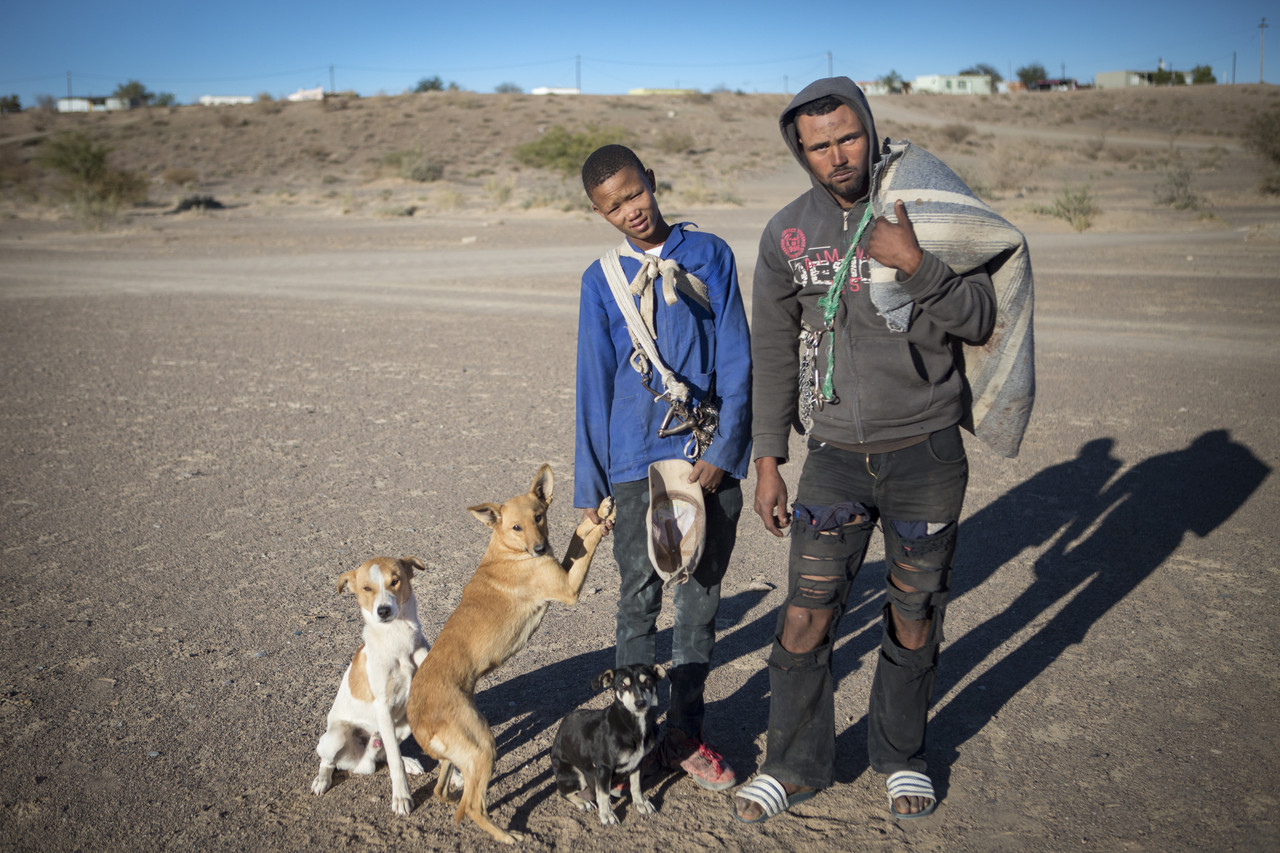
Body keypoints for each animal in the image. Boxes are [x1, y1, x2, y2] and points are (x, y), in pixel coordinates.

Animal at [311, 556, 429, 816]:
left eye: (395, 581)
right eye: (366, 588)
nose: (383, 611)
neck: (397, 638)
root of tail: (363, 762)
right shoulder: (383, 707)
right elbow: (394, 763)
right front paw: (402, 798)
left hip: (403, 725)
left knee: (386, 752)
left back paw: (409, 761)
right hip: (336, 736)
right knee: (328, 762)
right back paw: (322, 780)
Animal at [405, 464, 615, 844]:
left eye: (539, 517)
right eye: (516, 526)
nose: (540, 547)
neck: (506, 548)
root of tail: (416, 720)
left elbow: (579, 533)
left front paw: (603, 509)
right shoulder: (566, 587)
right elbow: (588, 541)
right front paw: (608, 517)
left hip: (459, 755)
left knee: (445, 793)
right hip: (483, 745)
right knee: (474, 806)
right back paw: (507, 836)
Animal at [551, 664, 667, 825]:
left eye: (648, 681)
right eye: (623, 684)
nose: (640, 703)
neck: (631, 725)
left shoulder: (638, 762)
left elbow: (636, 786)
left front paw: (641, 803)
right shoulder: (604, 767)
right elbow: (604, 794)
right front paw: (606, 815)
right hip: (576, 776)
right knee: (563, 792)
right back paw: (583, 802)